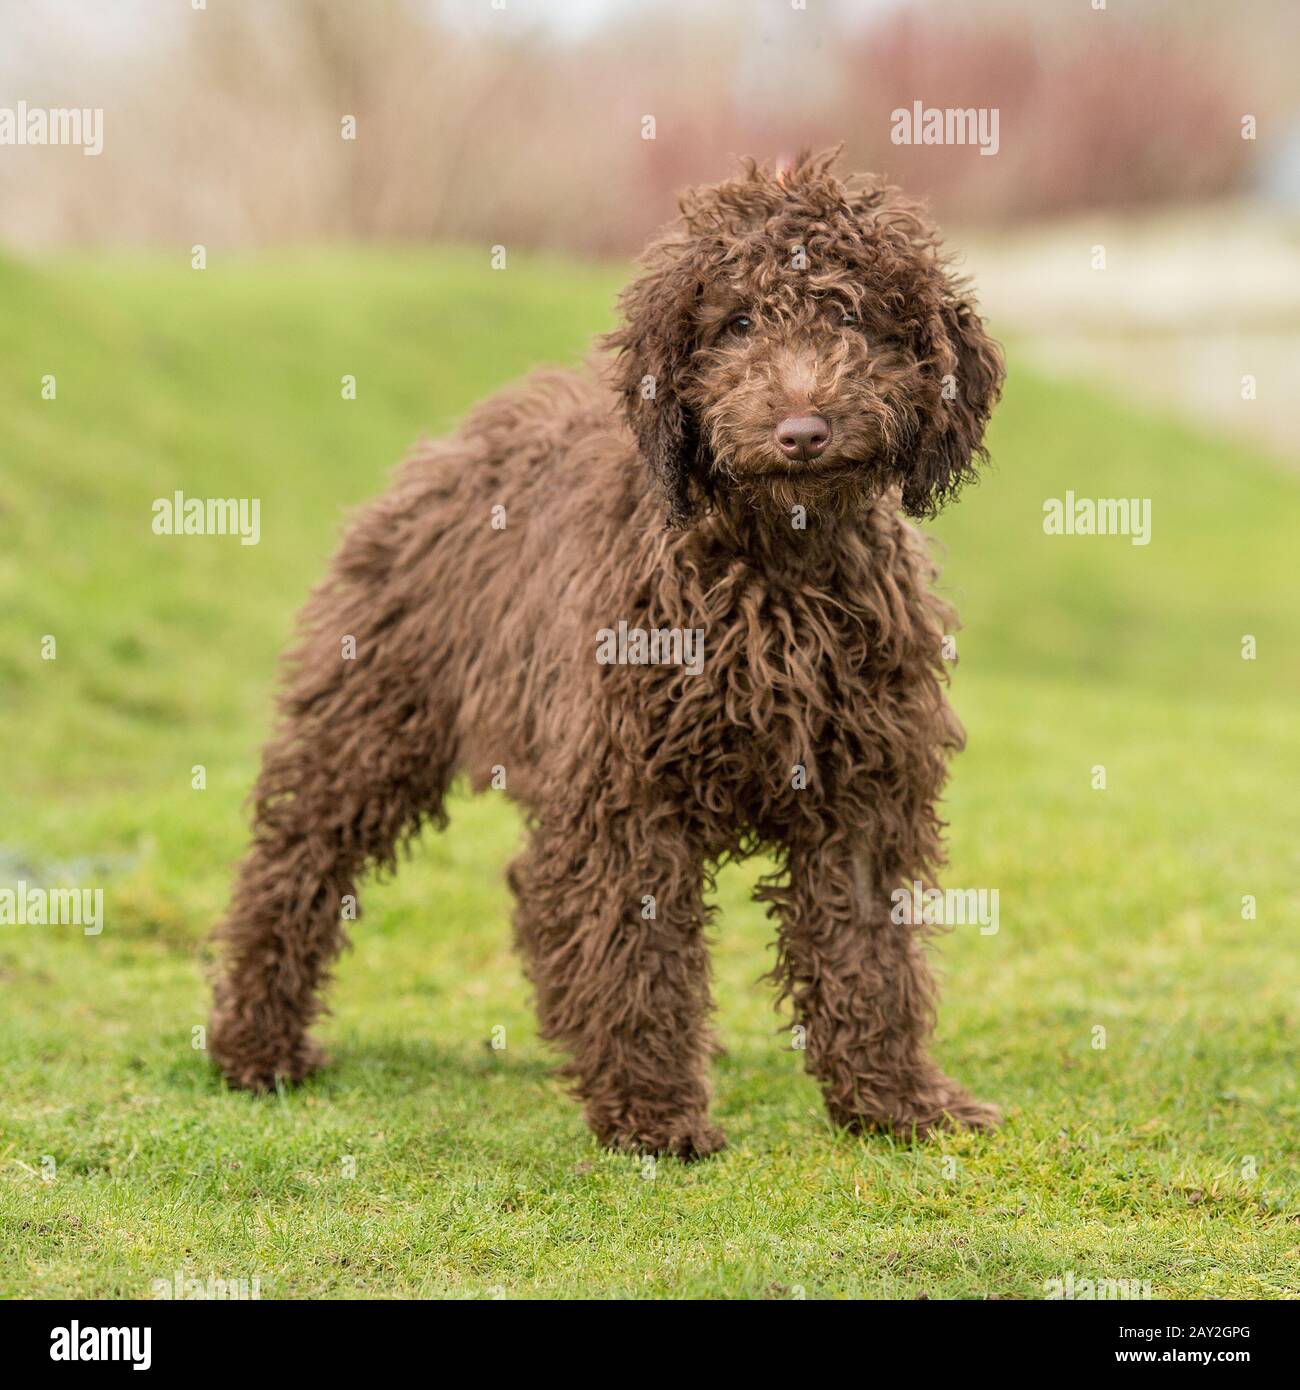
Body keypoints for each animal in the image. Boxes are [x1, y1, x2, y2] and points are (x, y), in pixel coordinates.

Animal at [211, 149, 1006, 1162]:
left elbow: (868, 956)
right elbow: (638, 956)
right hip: (369, 723)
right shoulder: (628, 791)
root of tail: (460, 437)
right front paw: (651, 1115)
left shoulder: (860, 792)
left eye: (852, 315)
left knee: (533, 891)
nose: (802, 432)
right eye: (738, 322)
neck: (774, 567)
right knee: (293, 869)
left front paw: (897, 1103)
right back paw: (254, 1046)